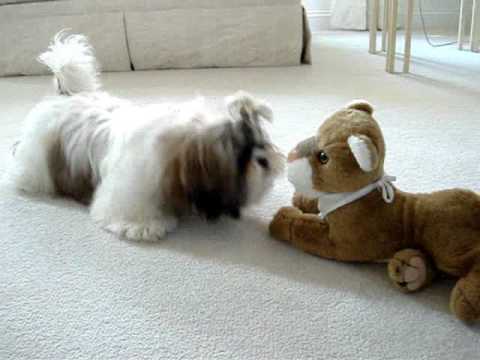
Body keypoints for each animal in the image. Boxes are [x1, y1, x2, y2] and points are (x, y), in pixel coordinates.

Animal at [9, 33, 284, 242]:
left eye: (262, 141)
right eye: (241, 152)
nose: (267, 161)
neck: (178, 151)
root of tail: (66, 96)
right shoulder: (132, 186)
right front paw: (144, 226)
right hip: (38, 160)